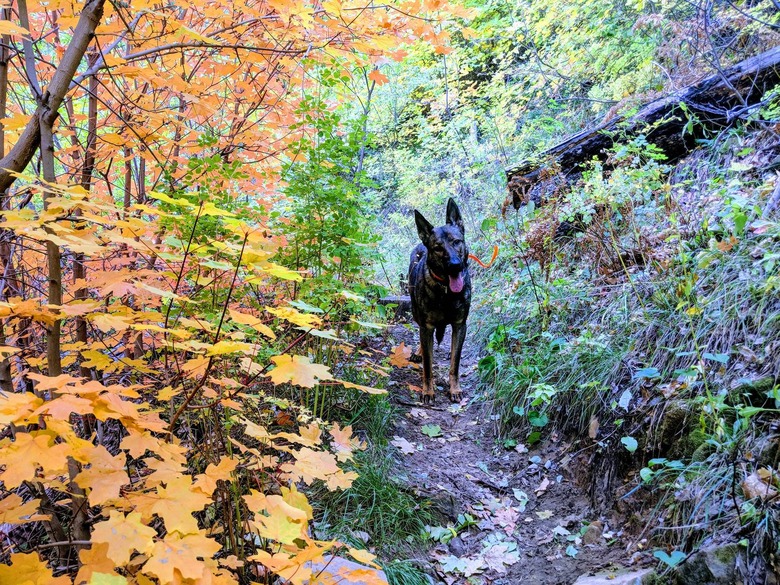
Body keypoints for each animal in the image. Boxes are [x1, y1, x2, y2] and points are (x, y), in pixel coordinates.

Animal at [408, 196, 470, 402]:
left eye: (457, 242)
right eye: (437, 248)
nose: (455, 266)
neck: (446, 293)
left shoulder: (460, 325)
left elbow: (454, 365)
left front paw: (455, 389)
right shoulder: (427, 327)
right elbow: (428, 366)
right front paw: (428, 391)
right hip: (416, 313)